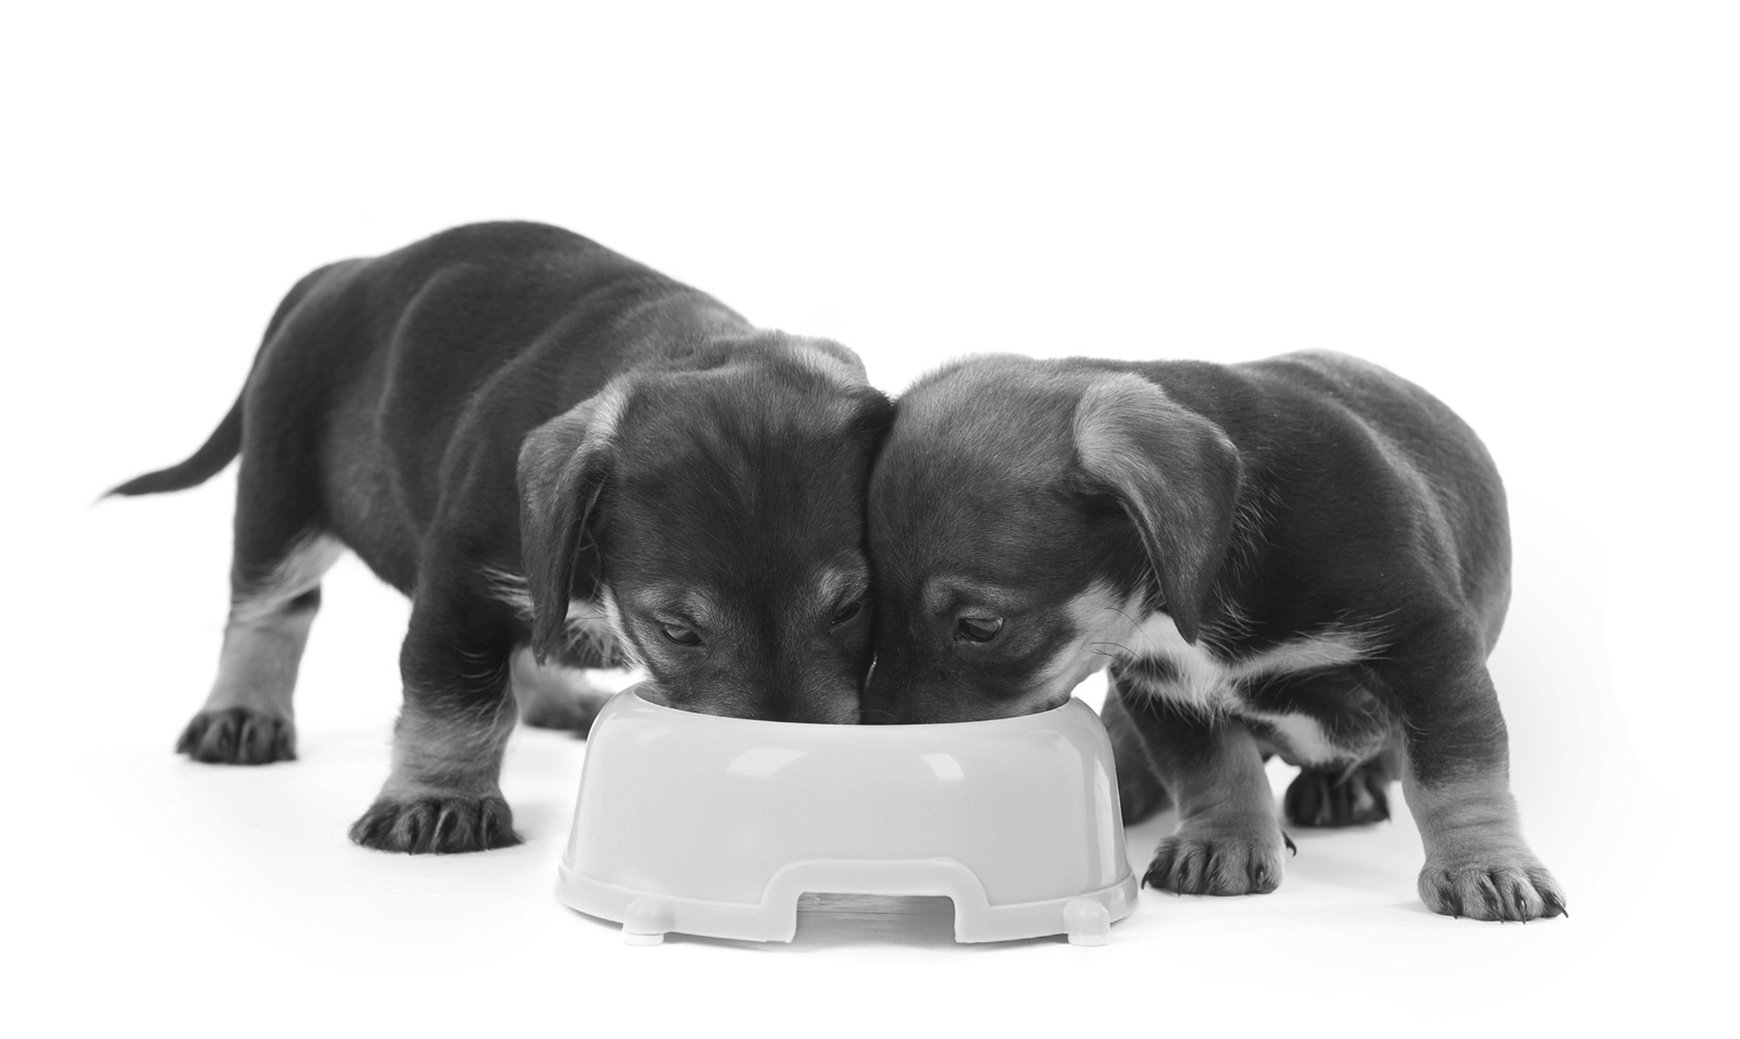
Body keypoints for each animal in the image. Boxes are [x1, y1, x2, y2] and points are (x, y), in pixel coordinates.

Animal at [107, 221, 890, 849]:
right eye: (677, 631)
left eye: (853, 607)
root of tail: (335, 273)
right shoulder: (465, 585)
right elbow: (453, 695)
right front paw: (437, 801)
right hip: (279, 500)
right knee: (268, 609)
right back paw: (241, 714)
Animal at [866, 353, 1566, 918]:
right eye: (870, 609)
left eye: (980, 627)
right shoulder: (1163, 687)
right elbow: (1215, 768)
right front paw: (1223, 841)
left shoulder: (1427, 646)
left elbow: (1456, 772)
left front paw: (1485, 866)